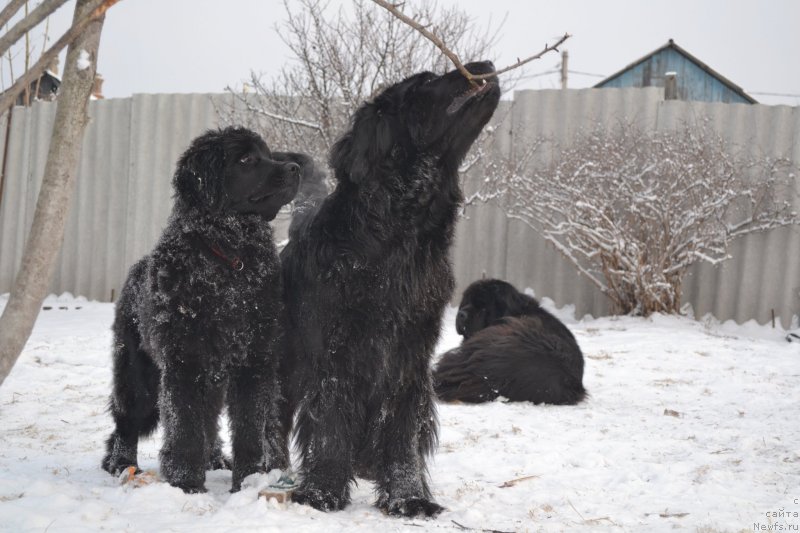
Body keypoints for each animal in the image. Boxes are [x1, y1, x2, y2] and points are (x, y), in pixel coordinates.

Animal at [102, 127, 306, 492]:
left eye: (268, 154)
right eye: (246, 159)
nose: (295, 167)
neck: (229, 258)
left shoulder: (255, 360)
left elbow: (250, 428)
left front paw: (249, 481)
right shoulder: (185, 360)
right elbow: (185, 428)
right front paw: (186, 484)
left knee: (208, 421)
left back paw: (213, 460)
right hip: (138, 375)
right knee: (126, 421)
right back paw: (122, 463)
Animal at [278, 62, 496, 516]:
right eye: (426, 81)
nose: (483, 65)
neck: (396, 239)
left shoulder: (408, 360)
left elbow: (401, 433)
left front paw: (408, 497)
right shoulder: (335, 356)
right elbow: (330, 425)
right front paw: (321, 494)